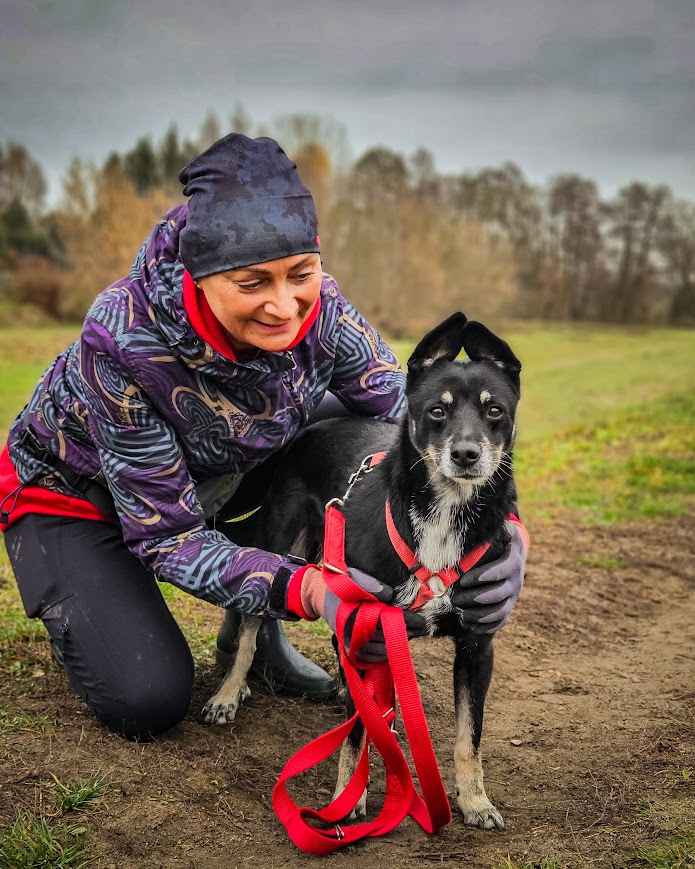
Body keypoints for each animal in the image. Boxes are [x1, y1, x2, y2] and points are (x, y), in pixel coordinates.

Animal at [204, 310, 520, 828]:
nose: (466, 455)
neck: (443, 513)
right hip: (281, 541)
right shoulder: (362, 630)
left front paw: (475, 801)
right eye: (437, 411)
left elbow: (467, 736)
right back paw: (229, 693)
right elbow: (359, 729)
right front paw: (348, 795)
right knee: (252, 620)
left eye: (494, 411)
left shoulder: (477, 645)